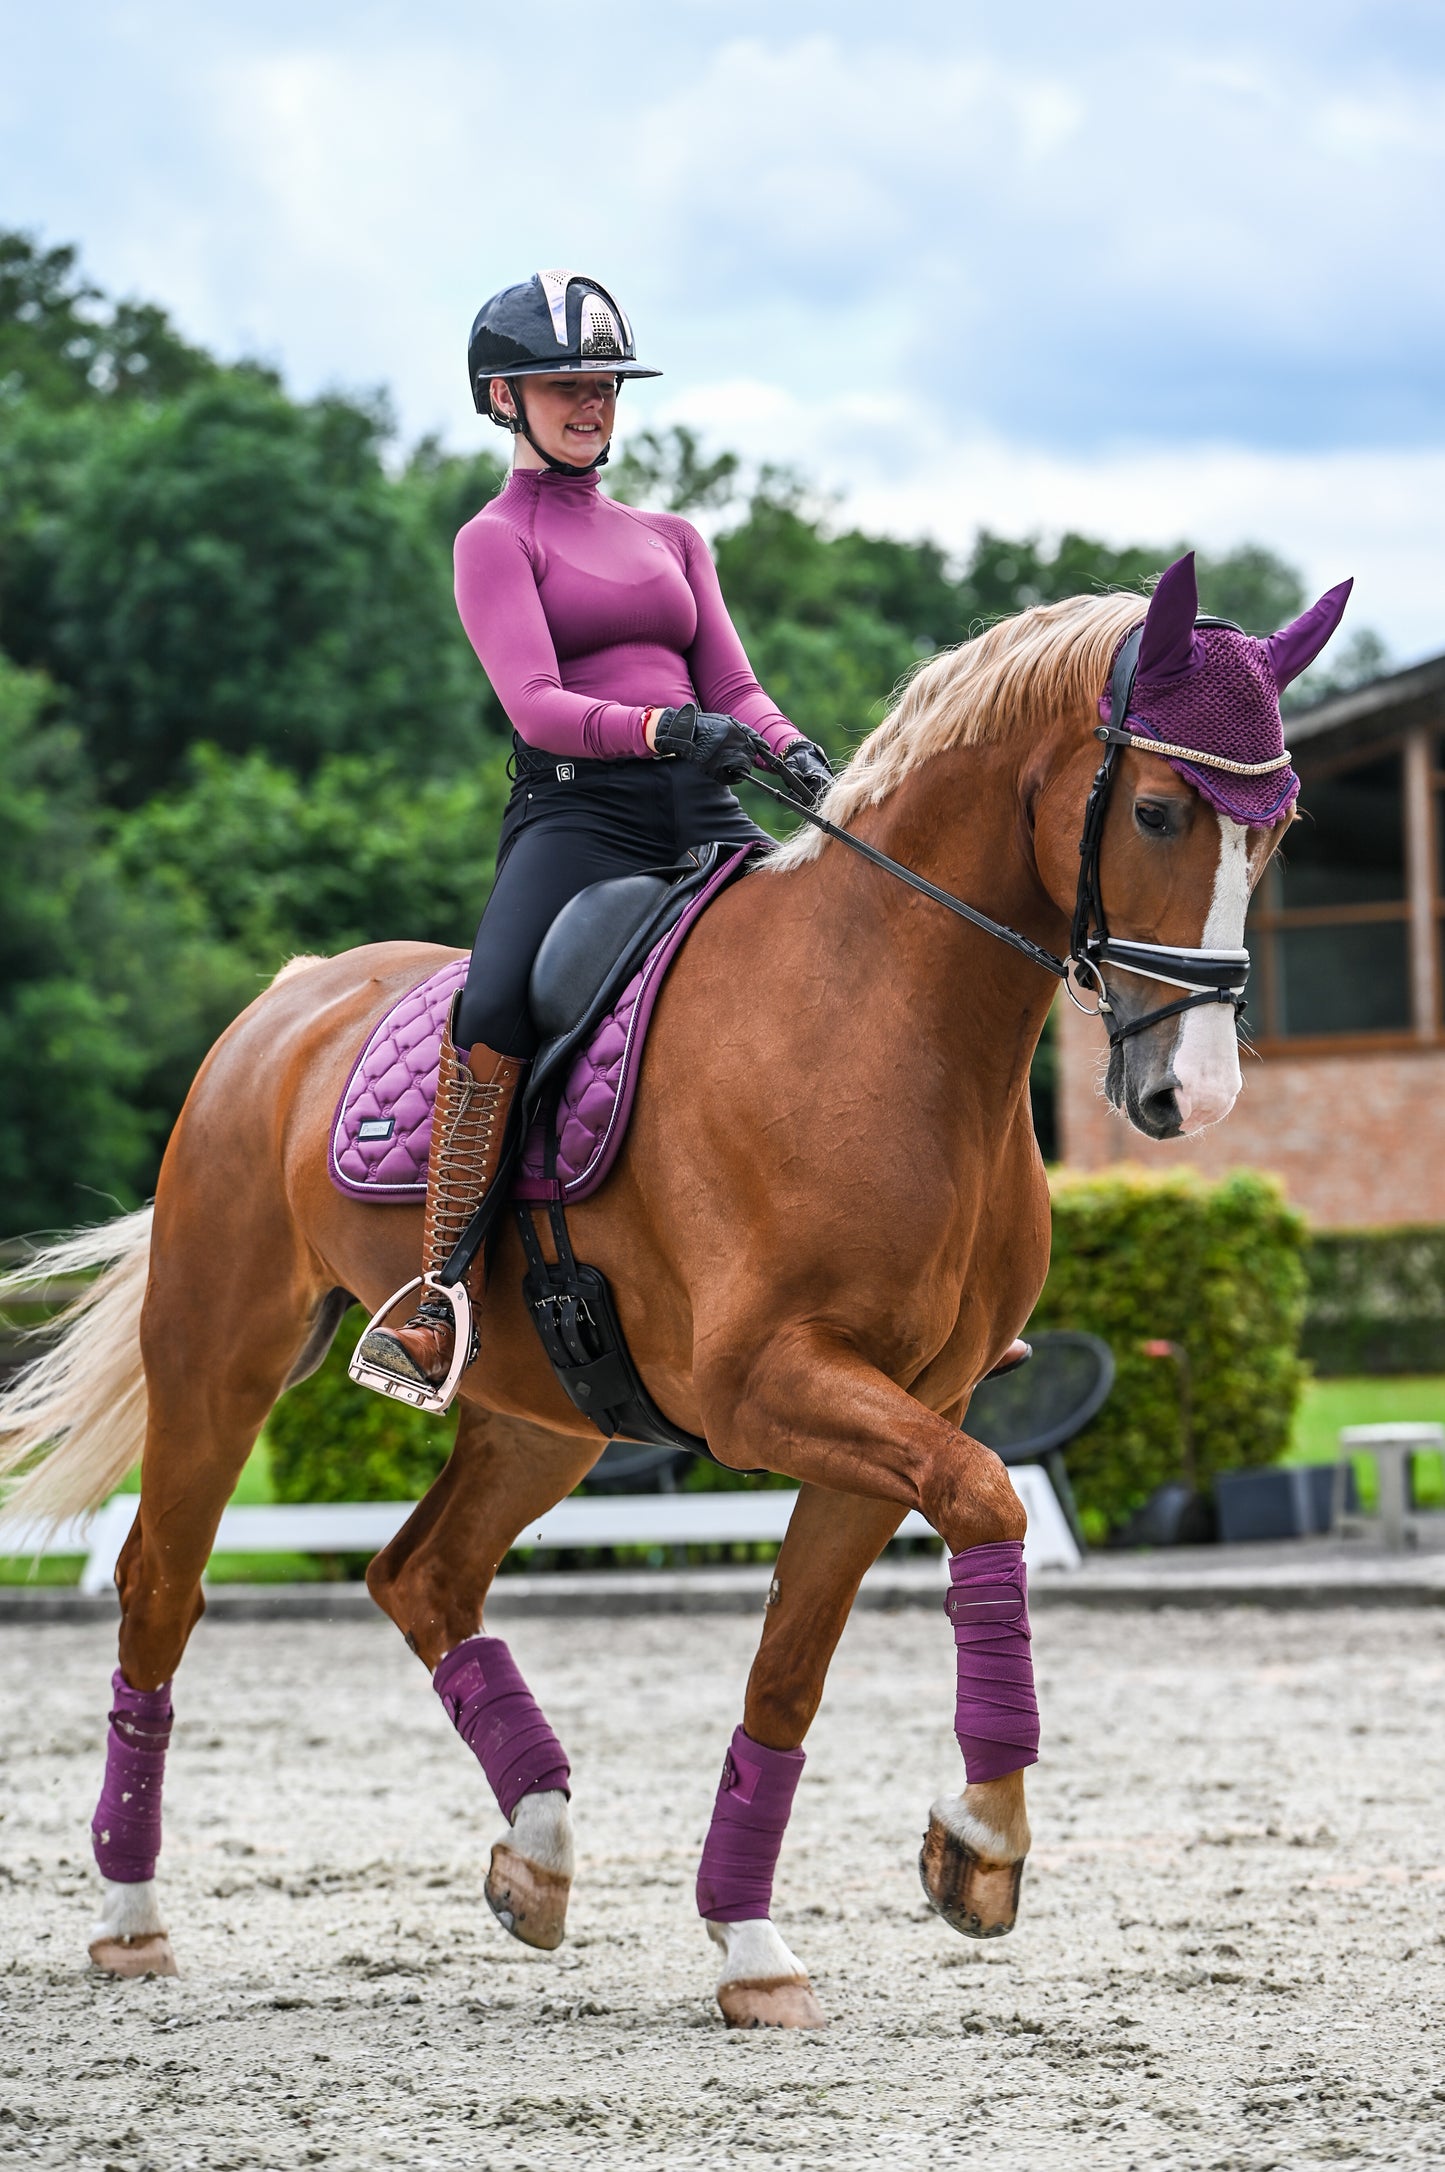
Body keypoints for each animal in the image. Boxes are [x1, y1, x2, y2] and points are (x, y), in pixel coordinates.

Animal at [0, 555, 1343, 2026]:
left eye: (1277, 831)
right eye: (1156, 810)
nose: (1189, 1095)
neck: (884, 1020)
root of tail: (285, 1002)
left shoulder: (902, 1410)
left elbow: (794, 1667)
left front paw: (757, 1939)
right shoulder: (766, 1392)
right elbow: (988, 1503)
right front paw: (982, 1839)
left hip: (542, 1415)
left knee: (423, 1577)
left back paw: (536, 1853)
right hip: (220, 1359)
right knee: (159, 1590)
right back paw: (129, 1915)